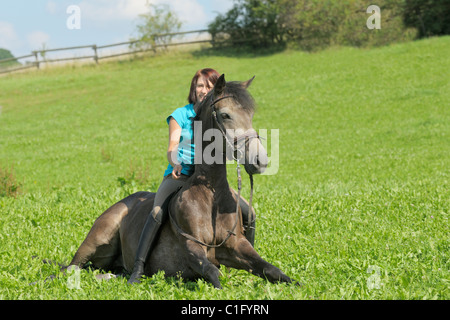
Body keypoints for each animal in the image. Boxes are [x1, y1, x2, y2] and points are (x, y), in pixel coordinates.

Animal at [65, 75, 298, 290]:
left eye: (250, 115)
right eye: (225, 115)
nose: (260, 161)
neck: (211, 194)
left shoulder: (237, 246)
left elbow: (271, 269)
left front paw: (298, 284)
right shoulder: (192, 247)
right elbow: (213, 272)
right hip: (96, 240)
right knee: (70, 268)